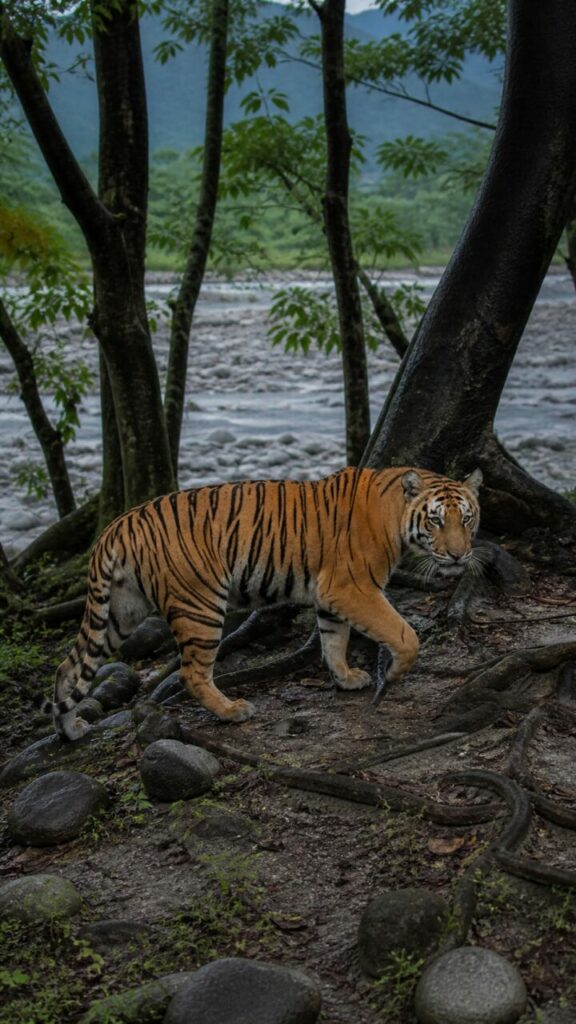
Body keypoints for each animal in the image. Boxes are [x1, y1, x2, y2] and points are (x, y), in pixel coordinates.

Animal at [46, 465, 482, 741]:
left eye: (467, 519)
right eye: (436, 520)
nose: (459, 555)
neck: (394, 514)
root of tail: (117, 524)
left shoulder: (331, 595)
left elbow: (333, 640)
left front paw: (345, 678)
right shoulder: (352, 588)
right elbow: (404, 634)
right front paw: (392, 674)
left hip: (119, 612)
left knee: (69, 668)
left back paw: (71, 730)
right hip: (201, 606)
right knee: (191, 673)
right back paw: (232, 711)